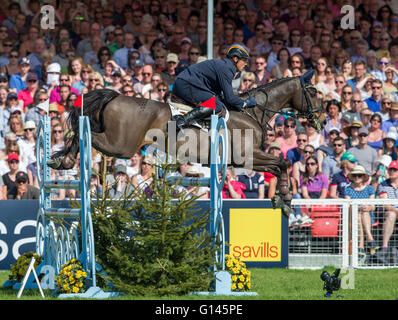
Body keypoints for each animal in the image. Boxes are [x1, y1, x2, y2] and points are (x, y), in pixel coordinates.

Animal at [49, 71, 324, 212]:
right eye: (312, 92)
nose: (320, 119)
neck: (252, 112)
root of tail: (115, 96)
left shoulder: (248, 159)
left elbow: (278, 166)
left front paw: (281, 199)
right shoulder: (247, 157)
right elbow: (283, 163)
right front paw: (286, 200)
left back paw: (61, 160)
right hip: (122, 145)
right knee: (85, 133)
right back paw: (65, 160)